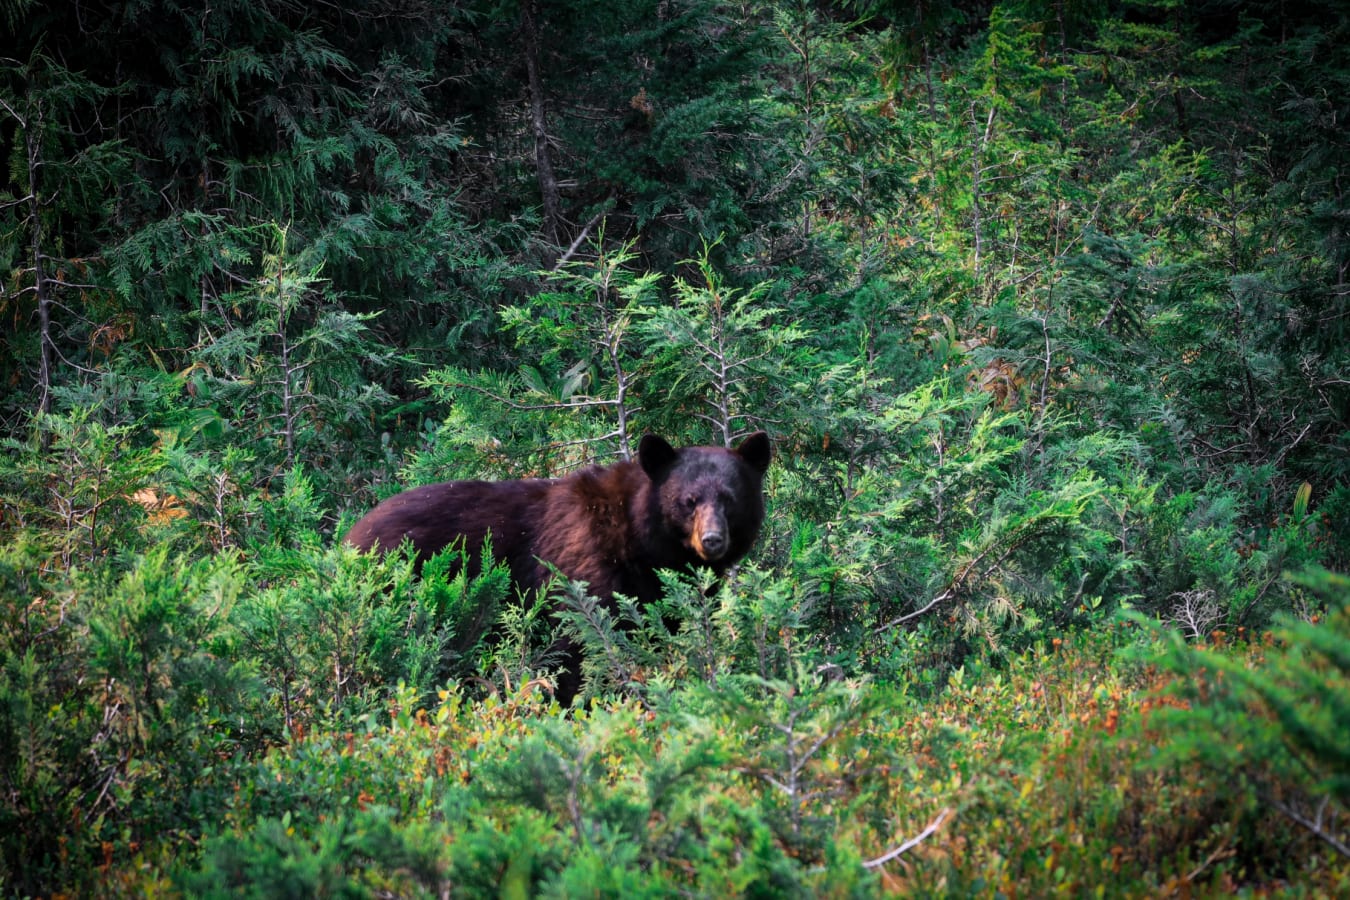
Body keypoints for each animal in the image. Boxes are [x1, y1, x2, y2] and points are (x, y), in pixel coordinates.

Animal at [344, 431, 772, 701]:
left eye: (730, 499)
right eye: (688, 501)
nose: (712, 540)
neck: (637, 540)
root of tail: (349, 539)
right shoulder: (581, 568)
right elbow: (578, 649)